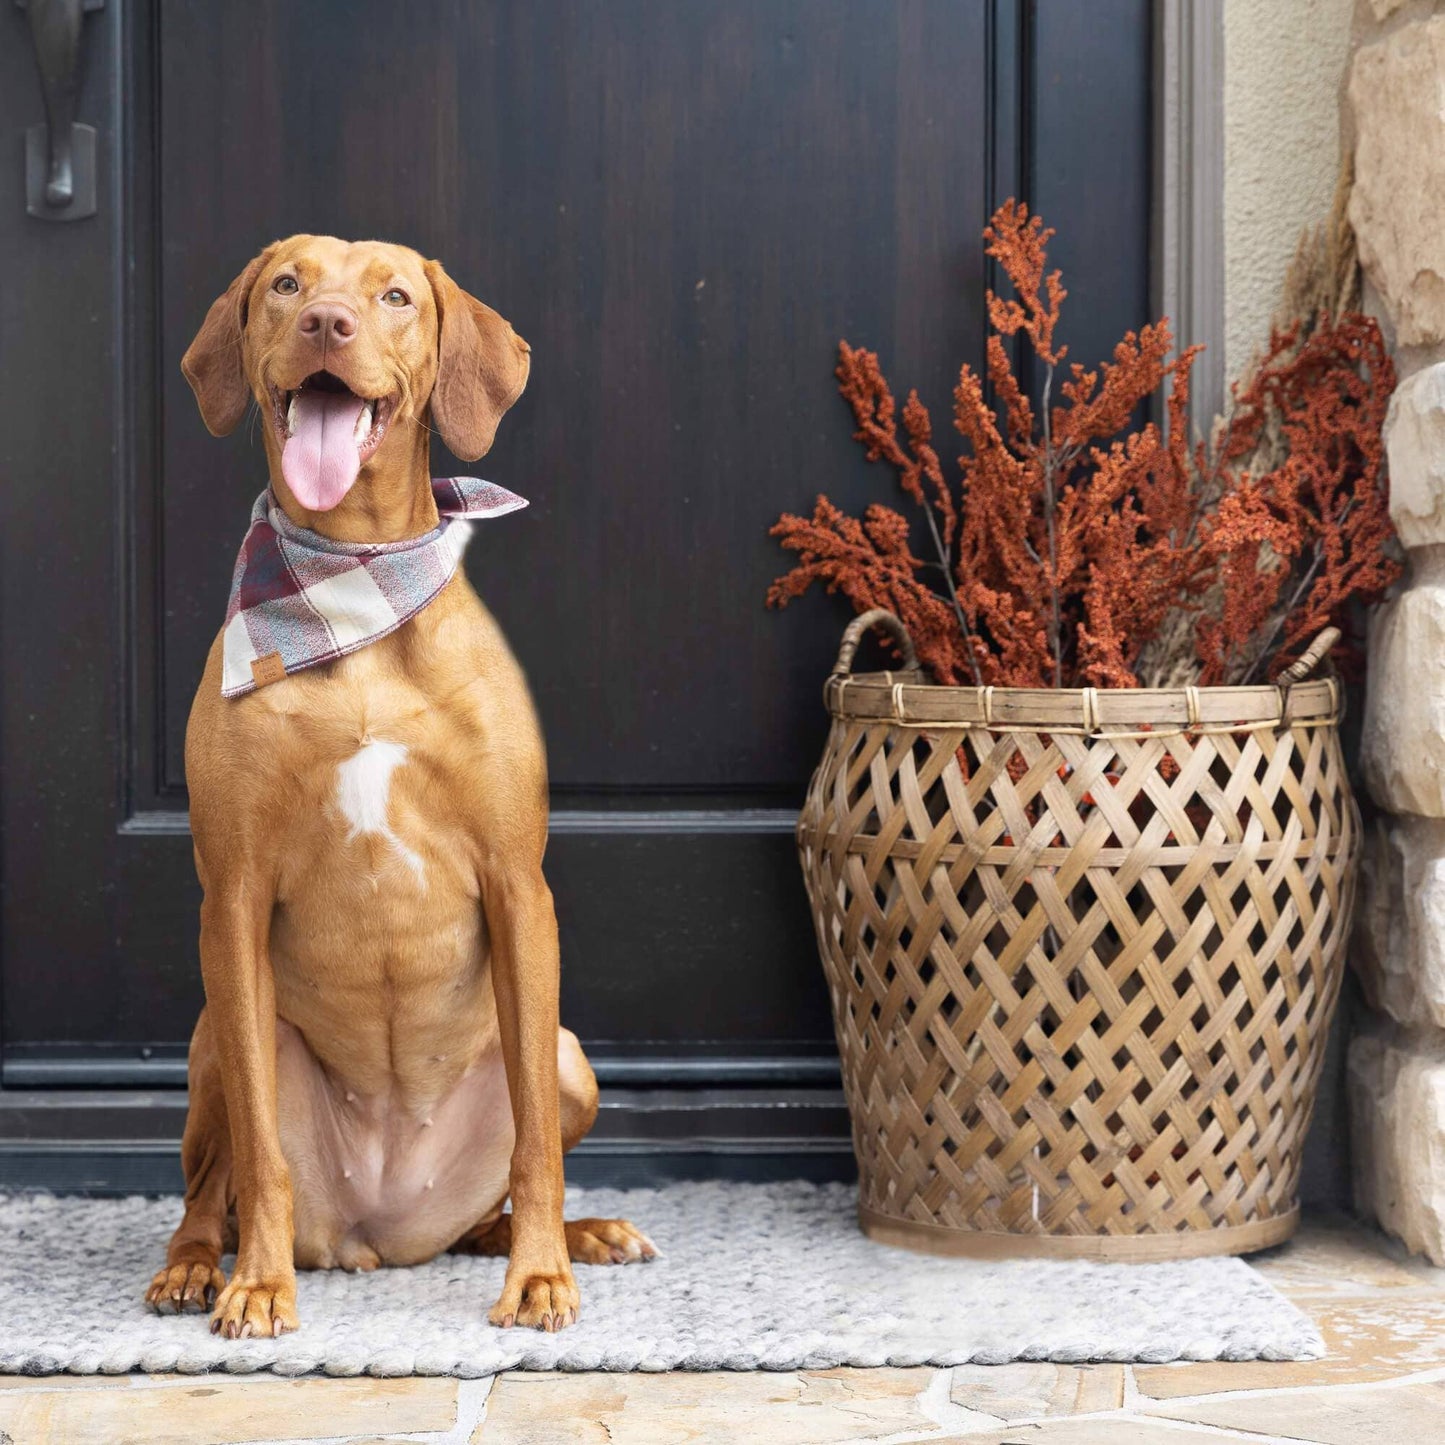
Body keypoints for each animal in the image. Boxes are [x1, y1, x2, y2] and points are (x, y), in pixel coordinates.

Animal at [143, 239, 653, 1340]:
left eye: (394, 295)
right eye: (287, 284)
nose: (327, 324)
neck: (351, 583)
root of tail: (376, 1230)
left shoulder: (516, 885)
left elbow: (534, 1147)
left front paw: (543, 1276)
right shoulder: (231, 896)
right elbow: (258, 1152)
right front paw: (258, 1285)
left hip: (564, 1051)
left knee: (493, 1201)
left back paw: (576, 1235)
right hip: (210, 1038)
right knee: (209, 1188)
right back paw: (198, 1265)